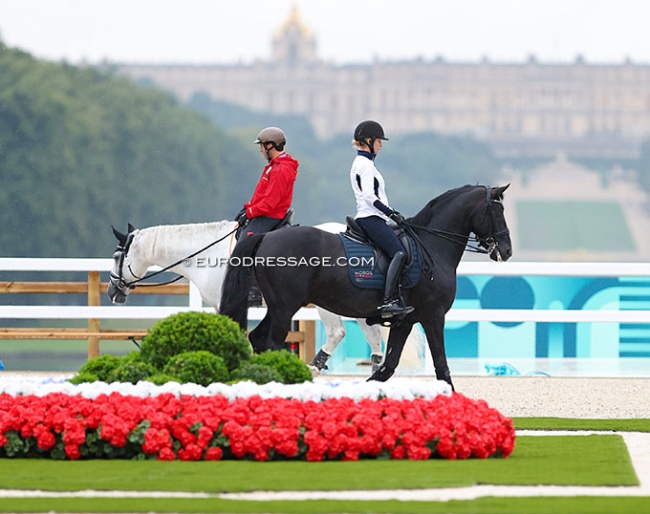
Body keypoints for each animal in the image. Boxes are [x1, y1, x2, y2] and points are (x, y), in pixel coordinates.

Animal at [107, 219, 384, 372]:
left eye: (117, 256)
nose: (112, 291)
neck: (203, 253)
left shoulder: (226, 304)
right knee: (371, 334)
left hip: (327, 302)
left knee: (338, 332)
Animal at [219, 184, 512, 388]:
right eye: (498, 212)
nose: (507, 251)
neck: (432, 246)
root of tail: (266, 236)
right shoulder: (433, 316)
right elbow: (440, 365)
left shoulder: (406, 321)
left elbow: (388, 366)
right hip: (285, 307)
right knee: (271, 341)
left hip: (279, 306)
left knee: (259, 339)